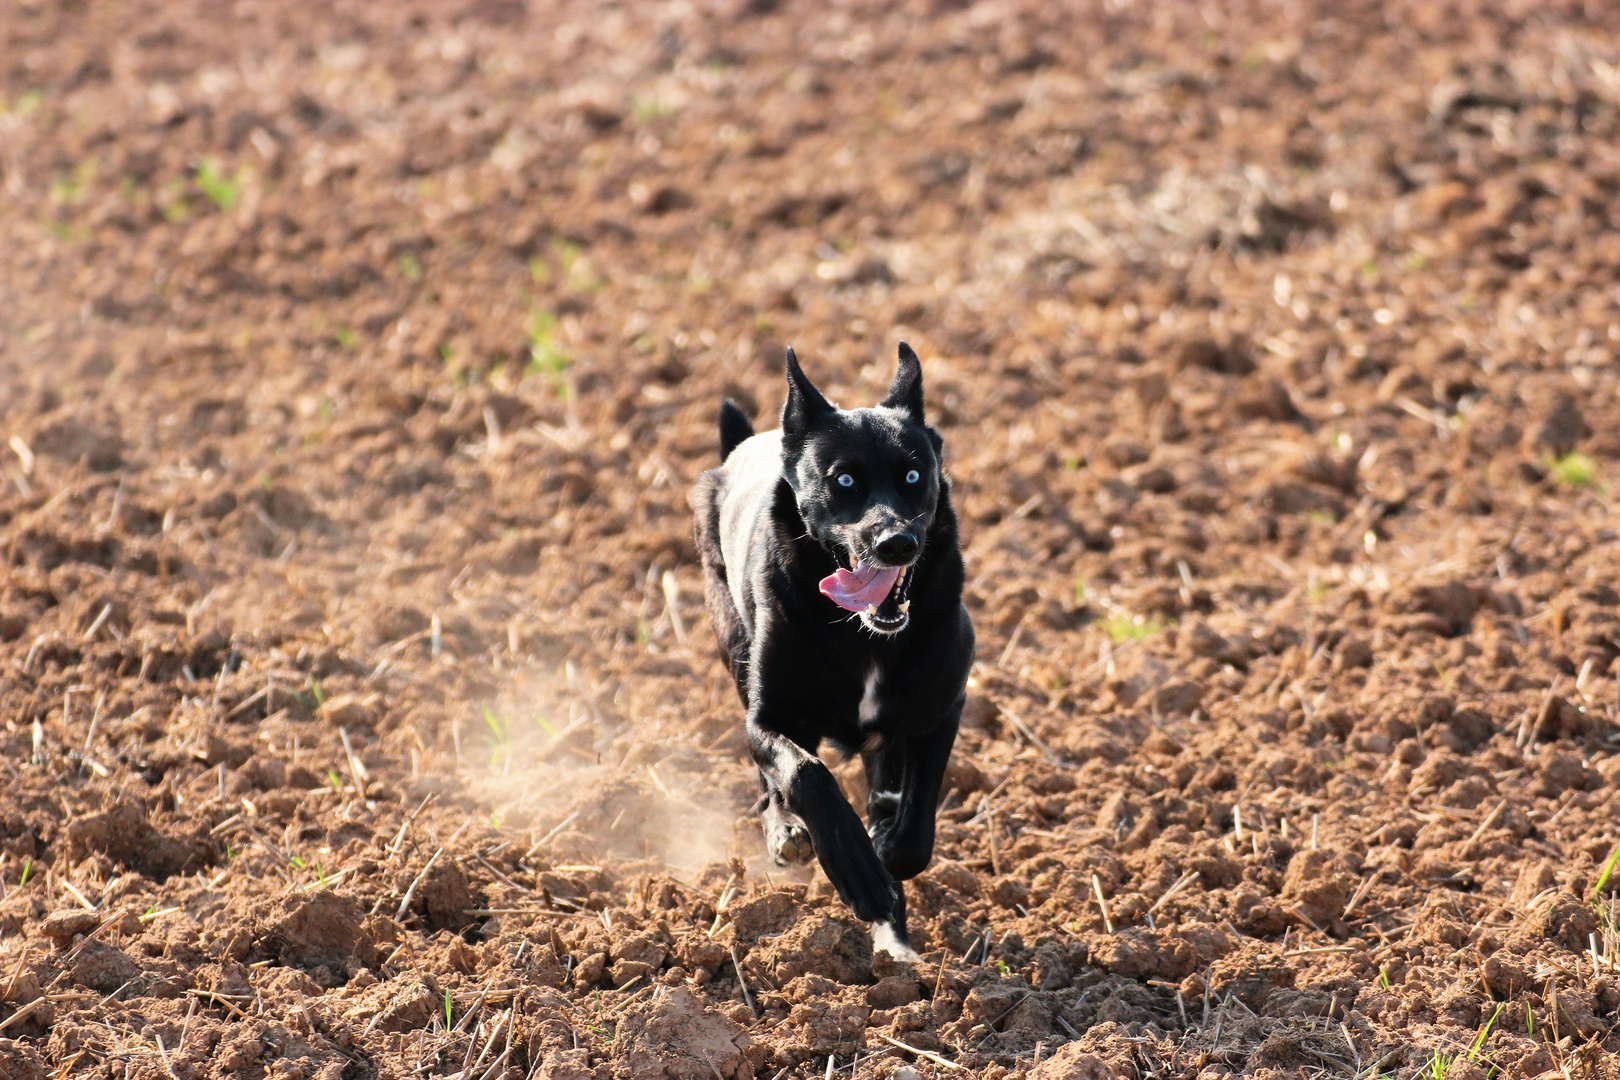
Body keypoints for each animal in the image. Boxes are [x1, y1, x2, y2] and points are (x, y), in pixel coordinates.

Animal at [686, 344, 965, 952]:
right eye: (843, 480)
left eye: (914, 474)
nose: (896, 543)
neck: (860, 633)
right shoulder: (767, 719)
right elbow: (806, 775)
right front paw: (857, 870)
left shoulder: (941, 709)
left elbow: (915, 825)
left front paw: (886, 853)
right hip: (735, 646)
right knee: (774, 784)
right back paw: (788, 832)